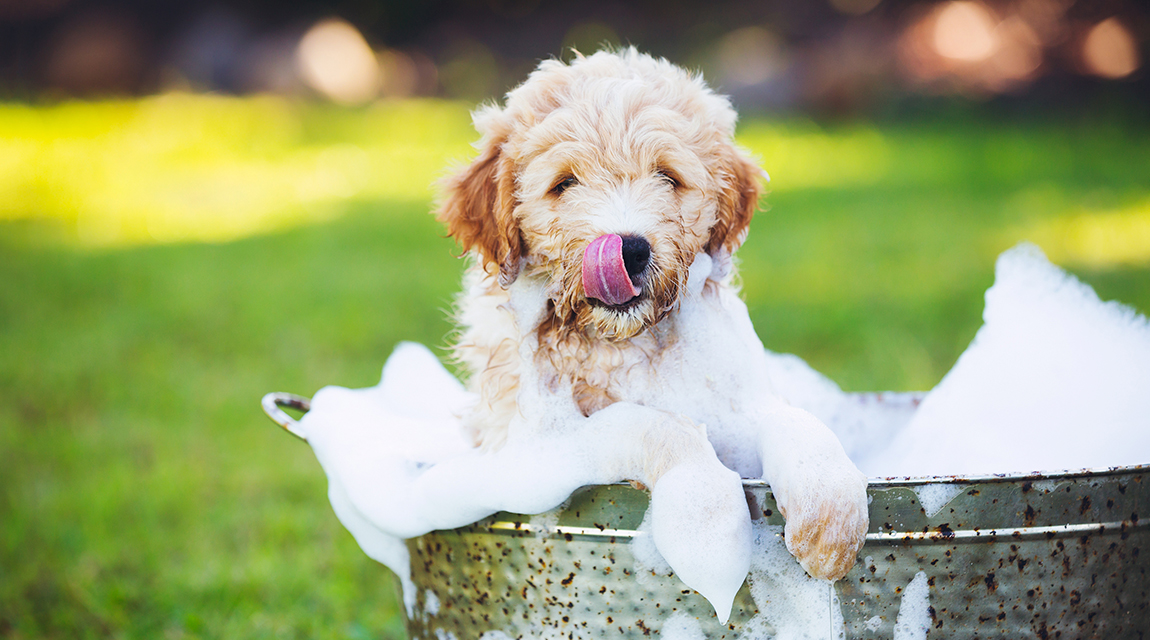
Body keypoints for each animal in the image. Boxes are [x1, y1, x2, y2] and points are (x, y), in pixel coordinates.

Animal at [434, 47, 864, 581]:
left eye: (667, 177)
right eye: (563, 183)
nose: (629, 249)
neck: (625, 344)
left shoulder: (744, 402)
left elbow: (799, 424)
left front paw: (831, 516)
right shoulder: (528, 443)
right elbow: (653, 426)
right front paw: (708, 517)